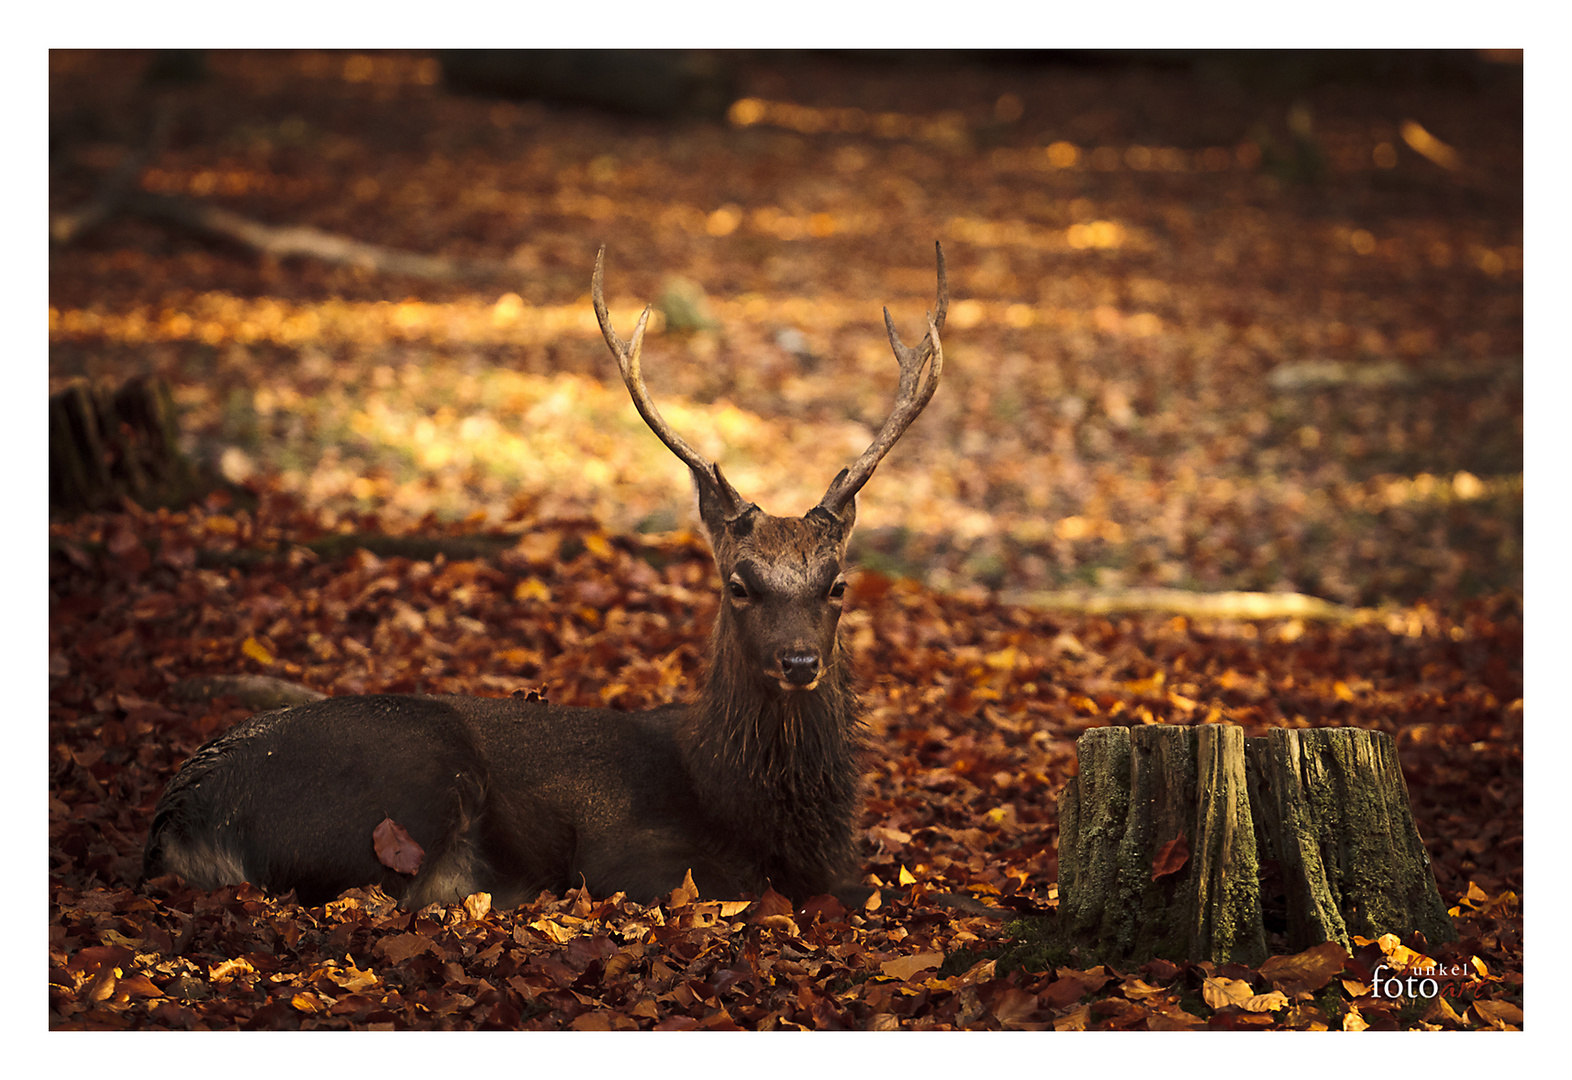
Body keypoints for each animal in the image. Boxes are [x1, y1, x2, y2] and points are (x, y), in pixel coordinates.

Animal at [144, 243, 943, 911]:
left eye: (836, 584)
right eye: (739, 584)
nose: (800, 661)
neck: (745, 804)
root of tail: (178, 821)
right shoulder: (630, 857)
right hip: (409, 779)